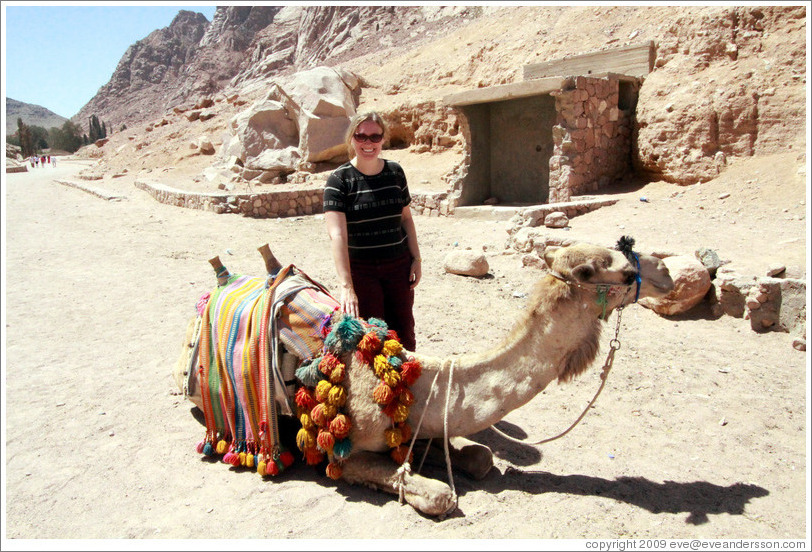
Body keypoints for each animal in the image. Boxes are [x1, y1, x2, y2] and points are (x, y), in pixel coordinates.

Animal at [174, 238, 673, 517]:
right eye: (592, 268)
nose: (664, 271)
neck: (411, 383)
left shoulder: (425, 425)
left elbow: (480, 458)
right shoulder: (342, 454)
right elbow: (438, 496)